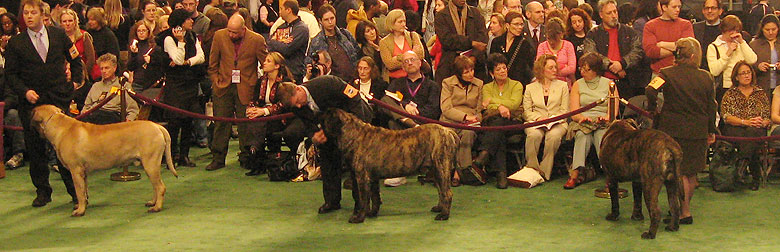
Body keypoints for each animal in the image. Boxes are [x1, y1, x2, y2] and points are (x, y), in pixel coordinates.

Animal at [31, 104, 179, 217]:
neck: (59, 126)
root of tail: (158, 126)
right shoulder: (83, 174)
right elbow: (84, 191)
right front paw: (83, 205)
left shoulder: (75, 171)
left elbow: (79, 192)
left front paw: (80, 211)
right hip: (150, 165)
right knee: (155, 186)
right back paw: (152, 202)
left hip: (150, 163)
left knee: (160, 187)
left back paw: (157, 207)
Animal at [320, 108, 460, 222]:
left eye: (325, 117)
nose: (318, 114)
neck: (353, 133)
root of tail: (448, 131)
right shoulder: (372, 178)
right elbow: (375, 197)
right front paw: (372, 213)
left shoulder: (362, 177)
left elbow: (364, 199)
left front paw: (358, 217)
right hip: (436, 171)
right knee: (441, 191)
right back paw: (439, 208)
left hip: (441, 168)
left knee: (447, 193)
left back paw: (444, 215)